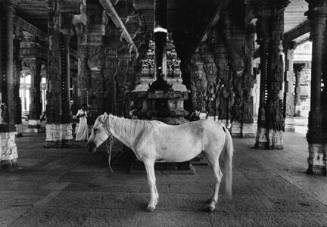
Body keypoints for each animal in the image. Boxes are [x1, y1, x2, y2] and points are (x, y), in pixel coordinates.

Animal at [88, 112, 234, 212]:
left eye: (96, 129)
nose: (90, 147)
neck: (140, 134)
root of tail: (221, 125)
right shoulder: (151, 162)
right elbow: (154, 180)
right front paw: (156, 200)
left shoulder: (148, 161)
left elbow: (150, 180)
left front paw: (151, 205)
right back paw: (210, 199)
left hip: (212, 157)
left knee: (218, 176)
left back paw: (212, 204)